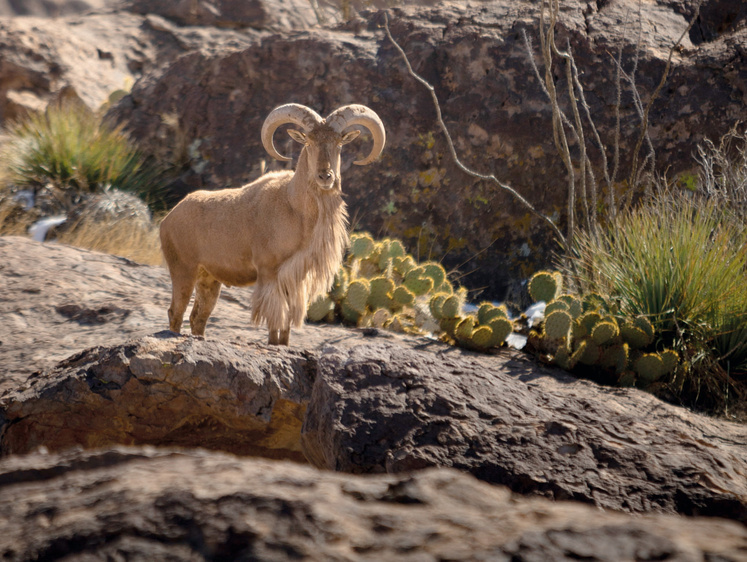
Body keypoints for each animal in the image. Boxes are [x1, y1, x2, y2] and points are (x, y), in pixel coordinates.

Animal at [161, 103, 388, 344]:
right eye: (308, 142)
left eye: (338, 144)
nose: (325, 176)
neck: (295, 208)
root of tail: (168, 218)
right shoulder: (269, 273)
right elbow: (274, 318)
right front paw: (273, 344)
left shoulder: (295, 279)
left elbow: (286, 321)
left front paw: (284, 345)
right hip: (183, 270)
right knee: (176, 312)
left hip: (209, 279)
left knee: (198, 317)